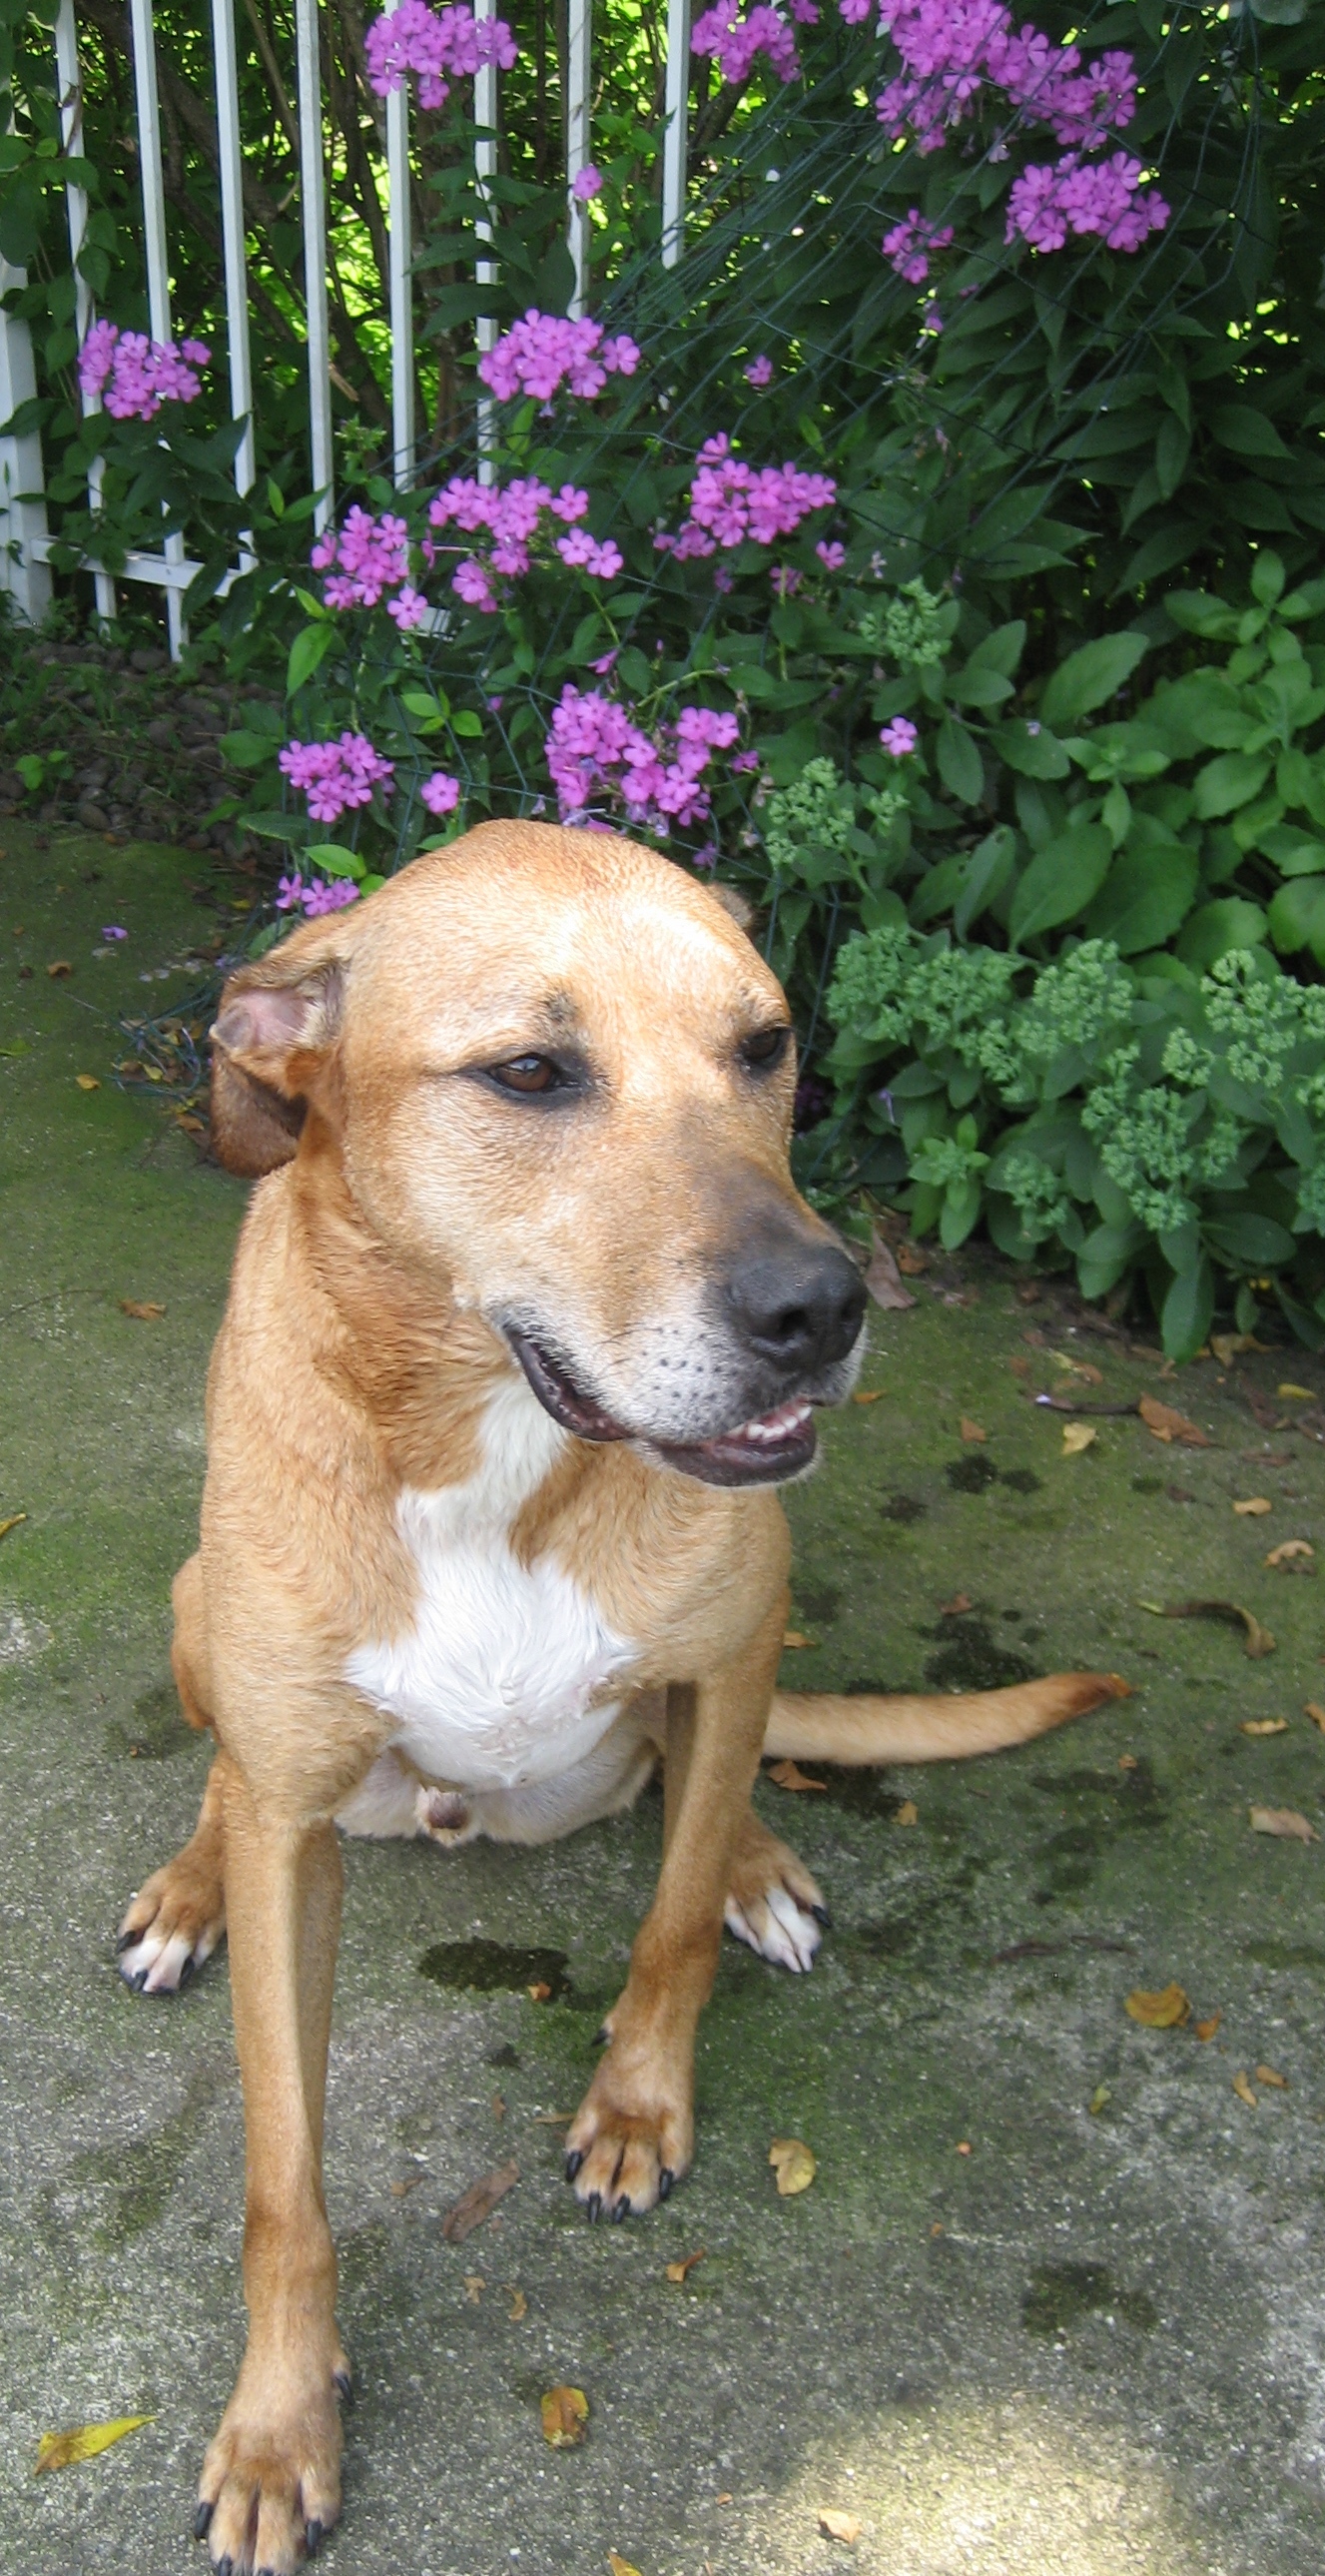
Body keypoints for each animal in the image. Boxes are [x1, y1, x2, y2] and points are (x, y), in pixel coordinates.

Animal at [119, 819, 1126, 2555]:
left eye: (763, 1043)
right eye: (529, 1071)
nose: (820, 1308)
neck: (487, 1446)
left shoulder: (726, 1652)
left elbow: (663, 1933)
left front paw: (642, 2102)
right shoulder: (293, 1830)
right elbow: (281, 2175)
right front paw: (275, 2423)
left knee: (700, 1803)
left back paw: (756, 1863)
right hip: (207, 1635)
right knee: (222, 1774)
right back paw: (189, 1883)